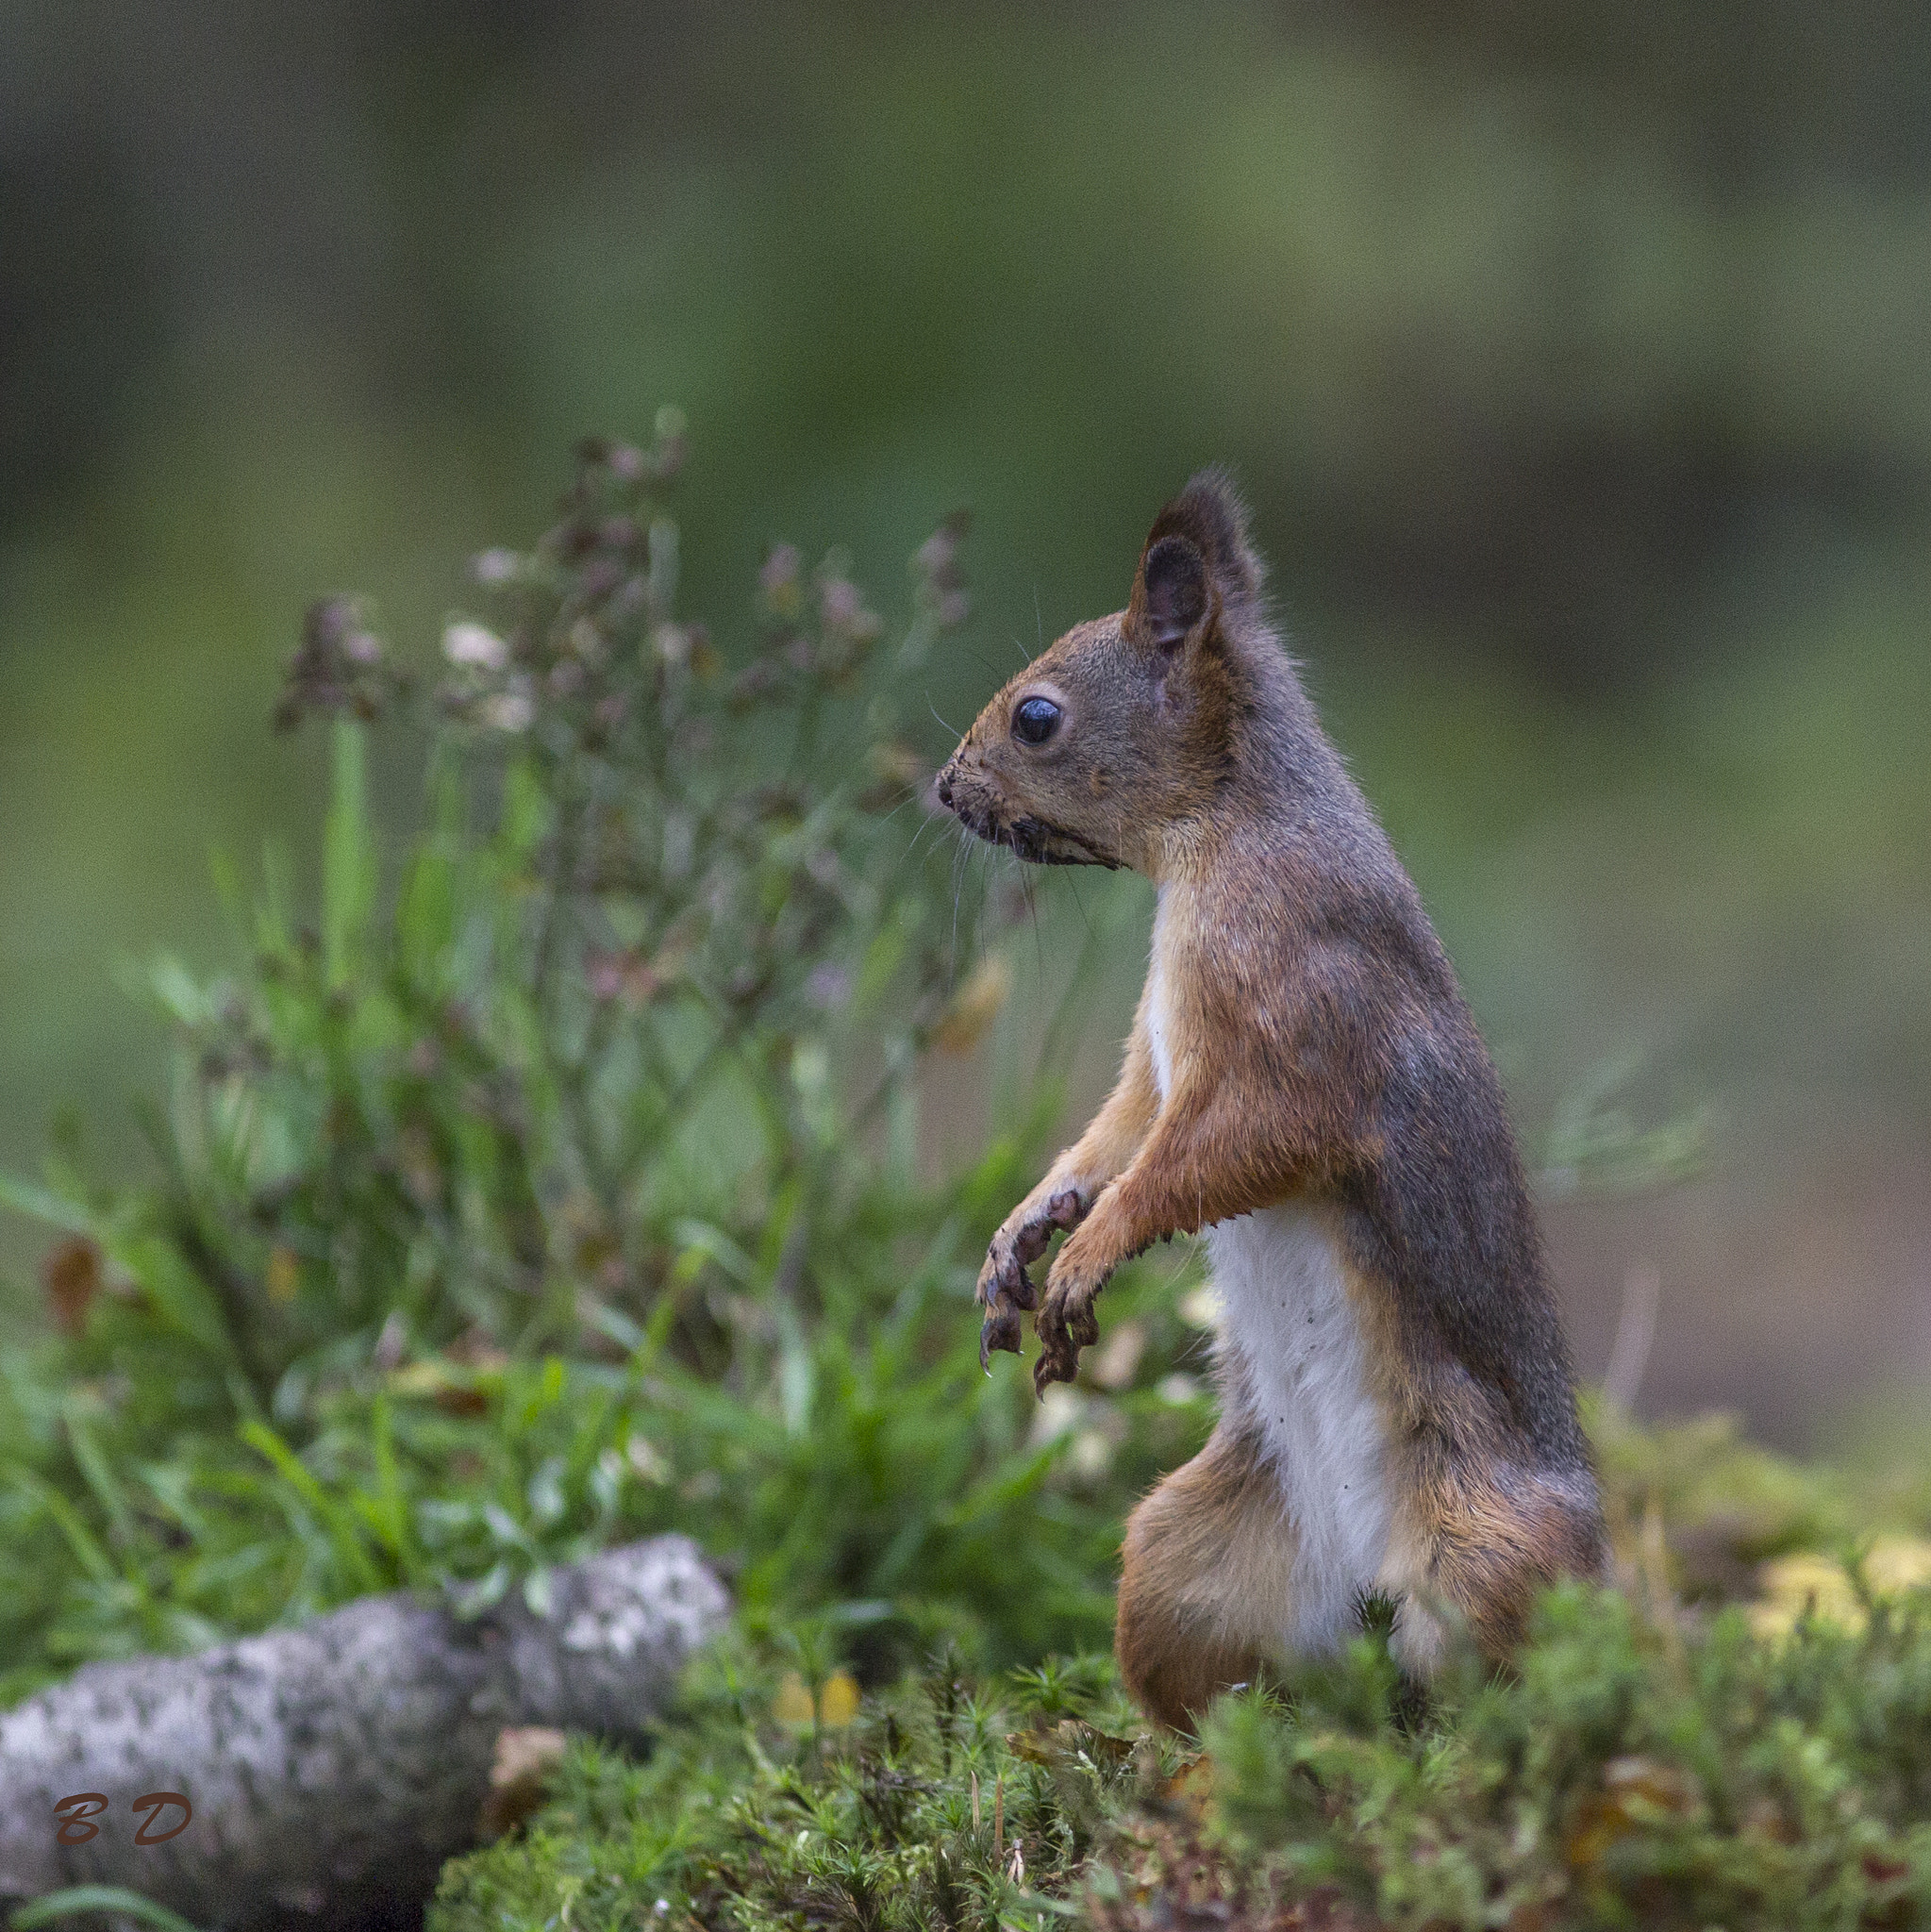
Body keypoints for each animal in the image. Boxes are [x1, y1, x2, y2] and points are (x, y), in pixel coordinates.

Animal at [935, 472, 1603, 1728]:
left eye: (1036, 717)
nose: (943, 788)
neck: (1222, 827)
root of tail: (1361, 1576)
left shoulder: (1301, 1014)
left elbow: (1221, 1149)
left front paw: (1092, 1245)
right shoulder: (1156, 1062)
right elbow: (1118, 1127)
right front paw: (1028, 1226)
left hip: (1488, 1548)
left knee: (1511, 1677)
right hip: (1179, 1555)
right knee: (1232, 1671)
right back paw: (1217, 1743)